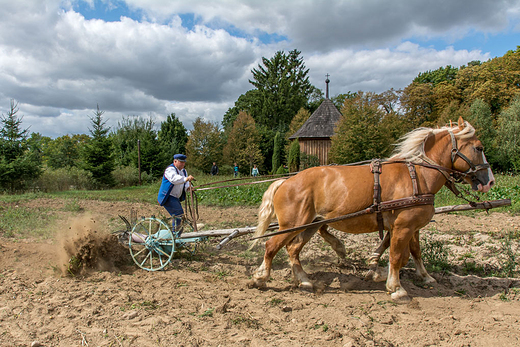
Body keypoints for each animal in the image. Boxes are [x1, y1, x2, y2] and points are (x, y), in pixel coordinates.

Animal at [250, 118, 494, 304]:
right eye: (479, 148)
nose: (489, 181)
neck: (417, 176)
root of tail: (285, 181)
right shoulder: (403, 226)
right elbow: (396, 256)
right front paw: (396, 287)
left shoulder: (411, 226)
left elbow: (414, 252)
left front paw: (423, 276)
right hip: (293, 224)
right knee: (271, 246)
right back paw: (261, 277)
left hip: (311, 224)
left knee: (293, 249)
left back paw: (305, 280)